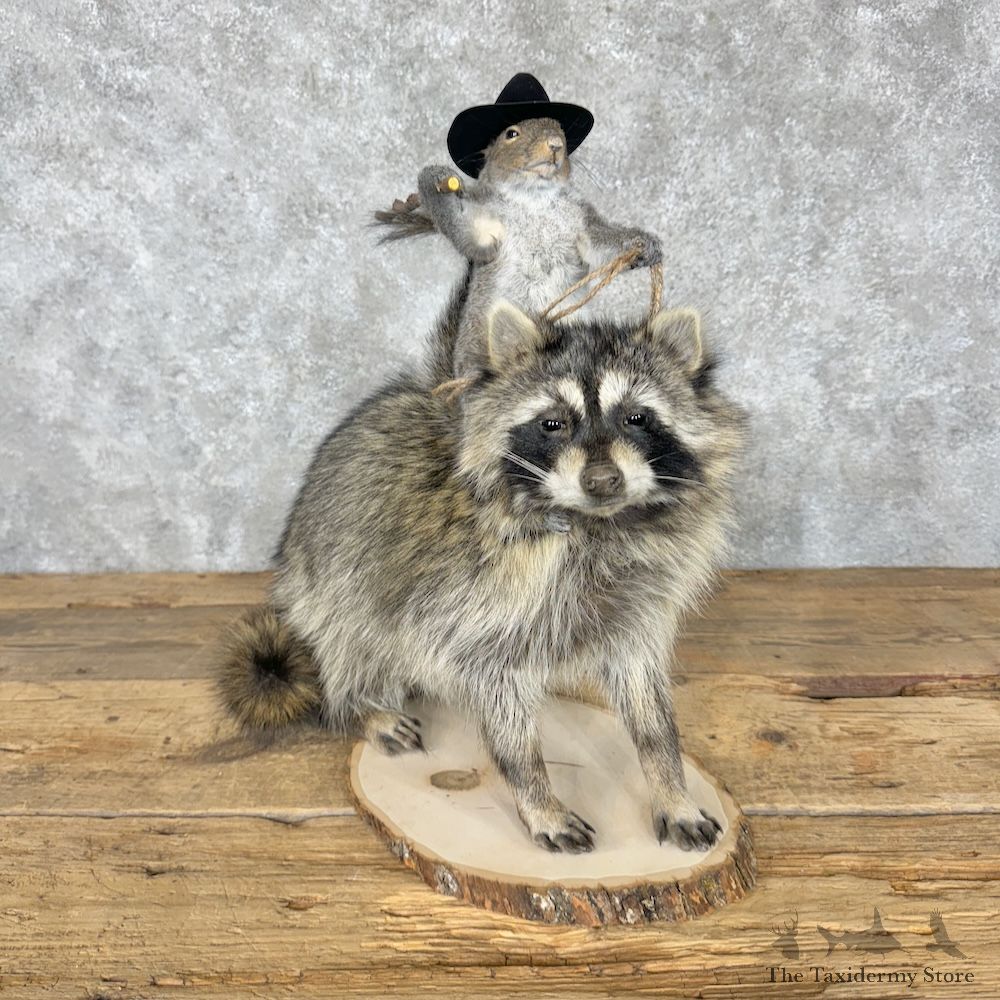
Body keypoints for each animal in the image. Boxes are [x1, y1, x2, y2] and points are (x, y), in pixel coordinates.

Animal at [219, 300, 745, 853]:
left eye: (637, 417)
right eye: (553, 423)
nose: (602, 480)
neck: (597, 522)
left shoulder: (640, 599)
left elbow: (646, 699)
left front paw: (670, 783)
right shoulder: (477, 599)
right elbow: (497, 690)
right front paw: (537, 795)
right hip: (334, 576)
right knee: (355, 637)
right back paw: (360, 703)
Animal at [375, 114, 663, 385]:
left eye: (560, 129)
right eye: (511, 134)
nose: (555, 145)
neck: (534, 198)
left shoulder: (583, 222)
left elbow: (600, 245)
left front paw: (643, 245)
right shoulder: (485, 223)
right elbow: (468, 234)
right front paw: (434, 178)